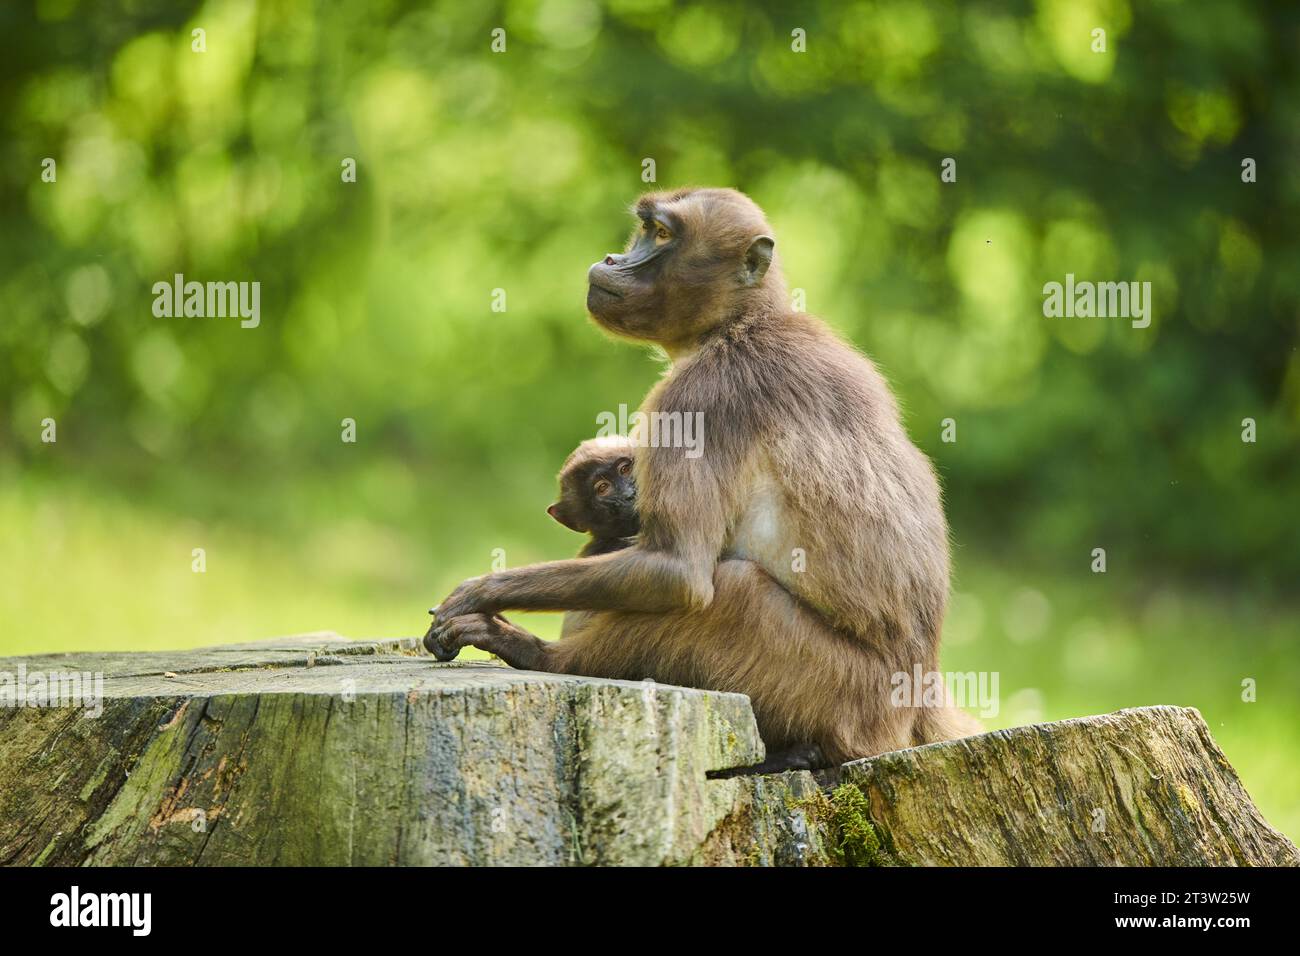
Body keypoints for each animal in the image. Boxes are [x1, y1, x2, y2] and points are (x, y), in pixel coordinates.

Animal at [426, 188, 977, 770]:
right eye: (643, 230)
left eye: (662, 235)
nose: (613, 260)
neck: (739, 324)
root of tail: (917, 696)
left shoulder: (699, 398)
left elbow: (679, 572)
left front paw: (481, 594)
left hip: (844, 691)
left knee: (732, 588)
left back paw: (543, 657)